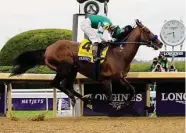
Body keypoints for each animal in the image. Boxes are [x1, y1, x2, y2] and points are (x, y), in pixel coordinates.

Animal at [10, 19, 163, 110]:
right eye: (147, 31)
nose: (160, 43)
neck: (119, 53)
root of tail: (47, 49)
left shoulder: (120, 77)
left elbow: (132, 90)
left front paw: (124, 104)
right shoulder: (107, 79)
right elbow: (111, 97)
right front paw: (118, 106)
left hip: (72, 70)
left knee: (67, 85)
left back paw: (85, 99)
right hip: (65, 68)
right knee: (56, 83)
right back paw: (79, 98)